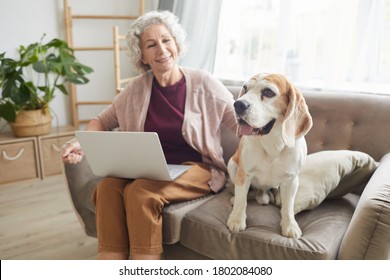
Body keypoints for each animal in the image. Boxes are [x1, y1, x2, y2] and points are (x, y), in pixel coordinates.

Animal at [227, 72, 312, 238]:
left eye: (268, 92)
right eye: (245, 88)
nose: (238, 105)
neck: (273, 143)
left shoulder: (292, 179)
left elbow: (288, 206)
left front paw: (289, 225)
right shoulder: (244, 174)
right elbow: (241, 200)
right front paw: (236, 219)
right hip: (232, 165)